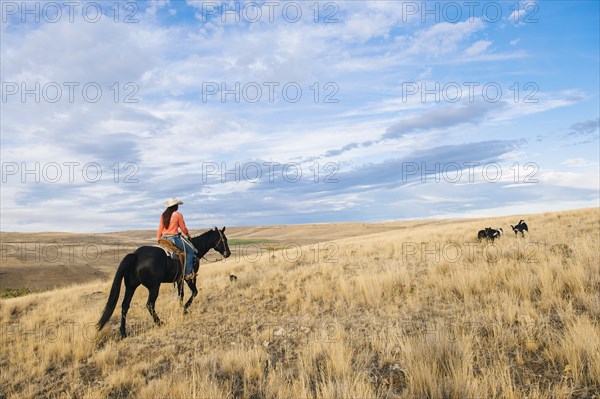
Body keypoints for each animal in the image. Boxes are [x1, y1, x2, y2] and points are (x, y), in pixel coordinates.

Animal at [97, 228, 231, 338]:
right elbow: (194, 292)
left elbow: (181, 295)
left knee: (125, 305)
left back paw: (123, 333)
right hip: (154, 287)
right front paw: (185, 310)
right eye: (224, 239)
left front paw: (181, 309)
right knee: (149, 304)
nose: (228, 253)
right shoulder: (189, 278)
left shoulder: (179, 280)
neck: (196, 249)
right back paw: (159, 322)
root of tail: (136, 255)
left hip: (131, 286)